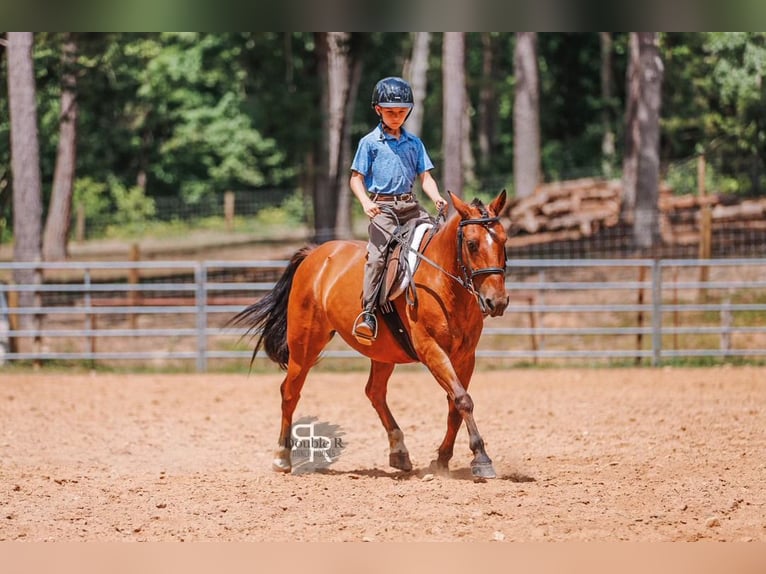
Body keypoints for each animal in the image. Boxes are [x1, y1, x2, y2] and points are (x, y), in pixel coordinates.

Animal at [232, 189, 509, 478]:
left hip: (383, 353)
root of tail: (313, 254)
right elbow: (463, 400)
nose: (497, 301)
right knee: (290, 392)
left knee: (374, 392)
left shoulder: (466, 356)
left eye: (503, 240)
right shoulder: (432, 350)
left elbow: (455, 404)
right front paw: (481, 458)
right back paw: (282, 457)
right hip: (304, 345)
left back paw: (399, 451)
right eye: (472, 244)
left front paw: (442, 459)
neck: (442, 283)